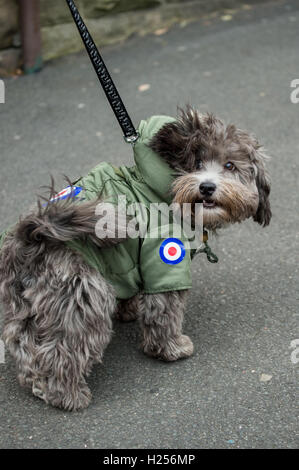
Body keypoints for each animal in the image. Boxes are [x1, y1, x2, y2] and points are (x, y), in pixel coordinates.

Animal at [0, 106, 272, 408]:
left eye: (230, 166)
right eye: (197, 162)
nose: (207, 188)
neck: (156, 186)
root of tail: (31, 236)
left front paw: (128, 310)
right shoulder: (164, 255)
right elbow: (163, 312)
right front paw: (172, 348)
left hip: (24, 305)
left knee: (24, 342)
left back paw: (34, 381)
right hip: (81, 298)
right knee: (64, 348)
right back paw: (65, 394)